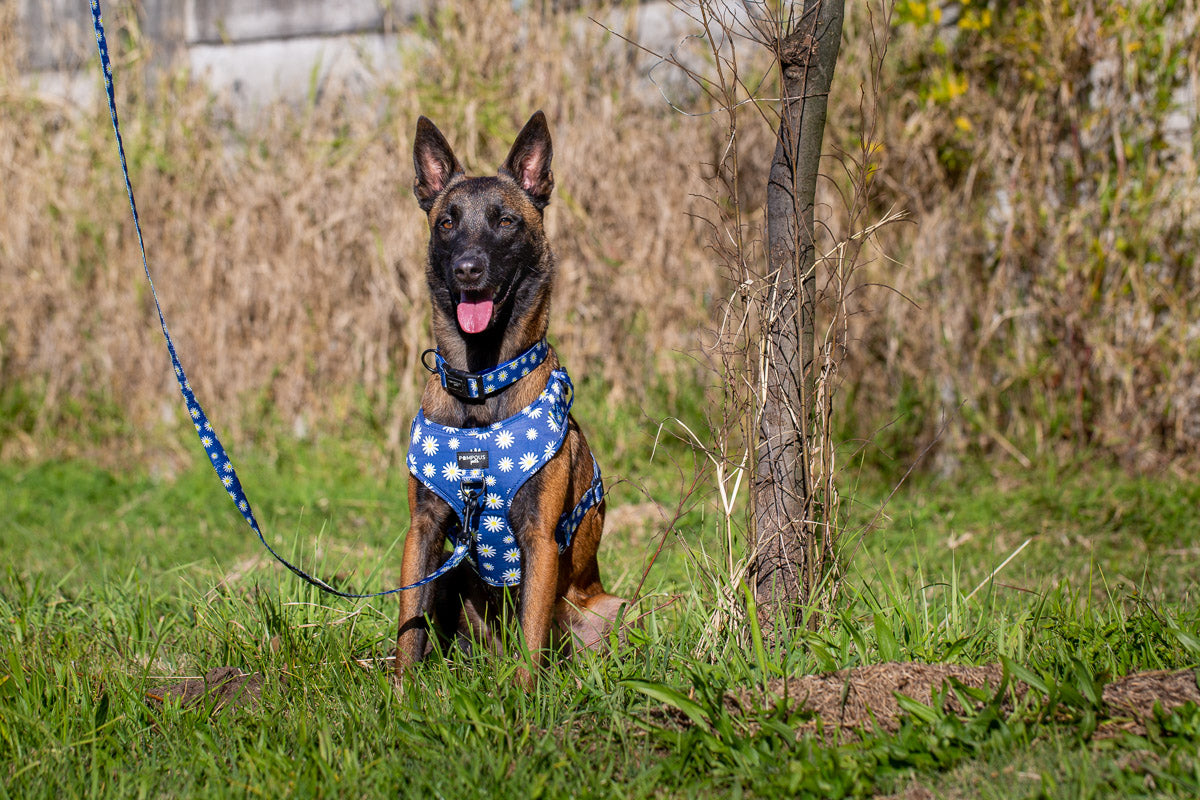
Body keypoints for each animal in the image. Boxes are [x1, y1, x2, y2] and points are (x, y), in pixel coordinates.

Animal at [398, 110, 633, 690]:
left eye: (505, 221)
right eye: (447, 223)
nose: (467, 268)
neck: (482, 385)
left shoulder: (539, 540)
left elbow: (531, 635)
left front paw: (524, 705)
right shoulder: (422, 531)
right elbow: (407, 626)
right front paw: (398, 694)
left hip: (613, 608)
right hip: (451, 584)